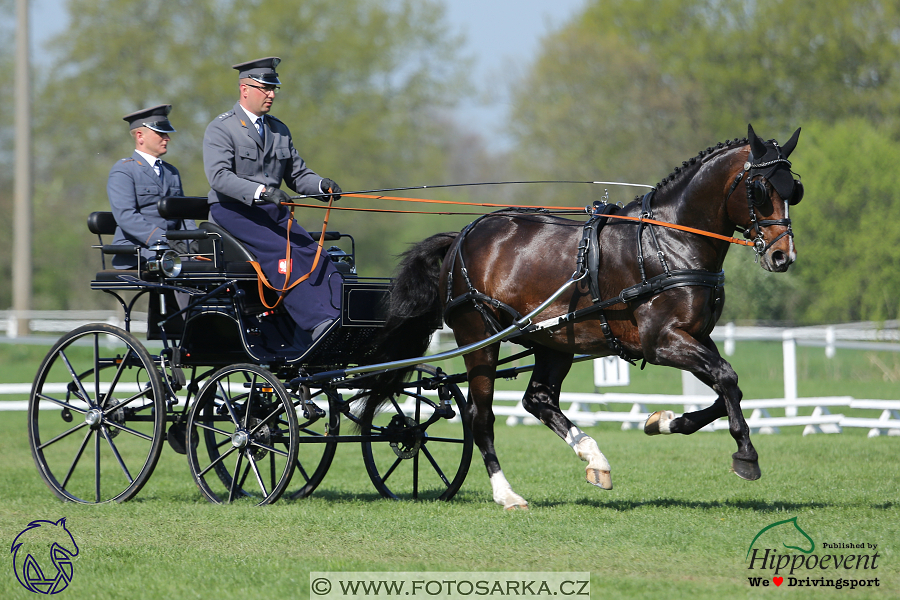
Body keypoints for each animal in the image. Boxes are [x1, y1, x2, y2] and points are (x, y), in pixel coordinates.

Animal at [358, 124, 800, 508]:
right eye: (760, 189)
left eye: (794, 190)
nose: (784, 256)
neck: (669, 240)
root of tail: (461, 237)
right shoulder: (662, 342)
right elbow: (727, 379)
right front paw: (746, 456)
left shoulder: (695, 335)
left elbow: (727, 390)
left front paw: (663, 421)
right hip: (478, 339)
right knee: (480, 417)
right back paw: (507, 494)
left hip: (553, 341)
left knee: (537, 399)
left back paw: (594, 458)